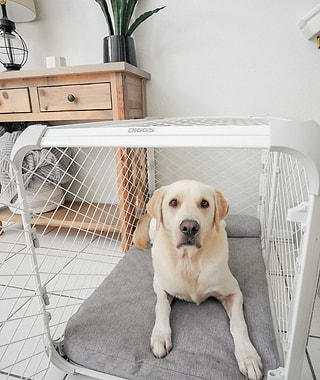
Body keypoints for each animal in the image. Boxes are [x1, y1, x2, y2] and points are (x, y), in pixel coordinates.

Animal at [132, 180, 262, 380]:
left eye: (204, 203)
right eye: (173, 202)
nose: (189, 227)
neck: (189, 260)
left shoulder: (234, 292)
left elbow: (238, 324)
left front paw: (248, 357)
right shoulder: (160, 286)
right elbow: (161, 306)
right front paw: (160, 337)